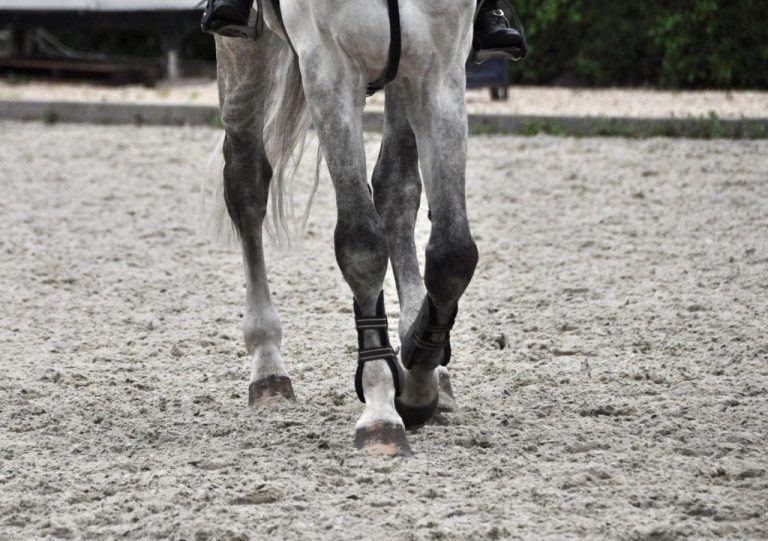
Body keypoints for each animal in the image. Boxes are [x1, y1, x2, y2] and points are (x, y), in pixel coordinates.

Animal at [204, 0, 479, 456]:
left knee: (397, 188)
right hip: (242, 58)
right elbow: (361, 246)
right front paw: (382, 409)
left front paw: (417, 384)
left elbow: (452, 256)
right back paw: (267, 366)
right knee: (246, 185)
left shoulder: (439, 73)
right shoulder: (329, 68)